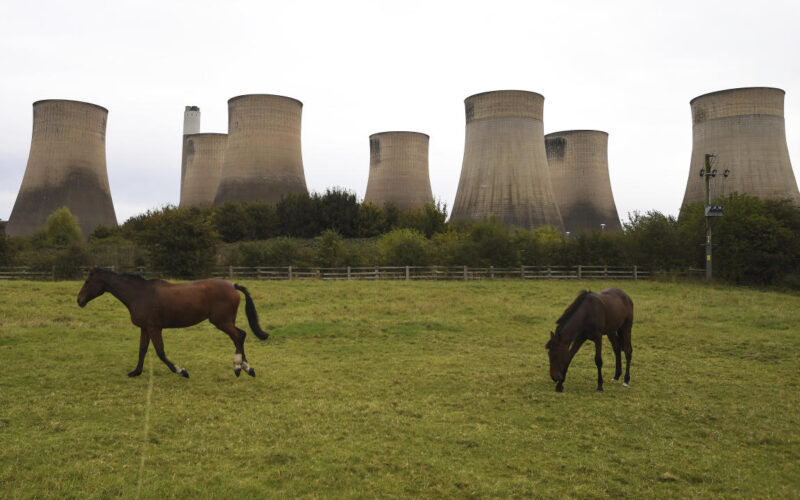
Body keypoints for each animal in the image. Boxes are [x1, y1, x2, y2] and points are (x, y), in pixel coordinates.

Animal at [76, 268, 268, 376]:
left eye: (87, 281)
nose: (79, 300)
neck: (139, 294)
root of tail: (233, 286)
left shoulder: (154, 328)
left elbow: (160, 352)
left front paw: (181, 371)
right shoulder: (145, 328)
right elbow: (142, 350)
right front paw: (136, 372)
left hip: (222, 322)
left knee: (239, 336)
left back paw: (239, 368)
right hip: (226, 322)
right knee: (239, 337)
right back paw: (246, 368)